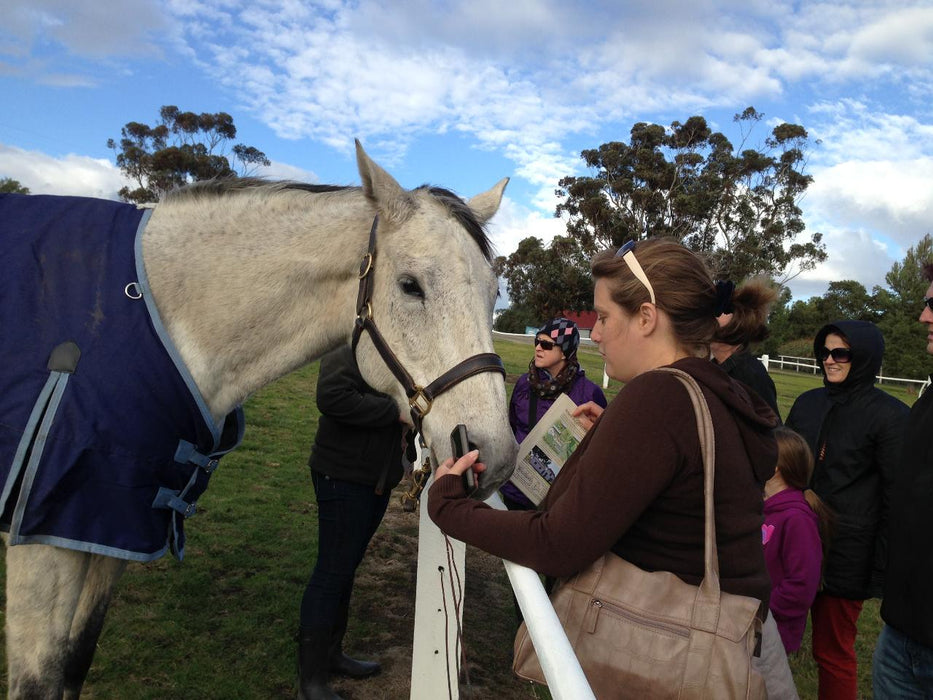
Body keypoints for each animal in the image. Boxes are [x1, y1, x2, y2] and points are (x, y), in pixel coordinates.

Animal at [0, 139, 516, 696]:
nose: (494, 455)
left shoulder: (112, 527)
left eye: (493, 294)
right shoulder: (46, 540)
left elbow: (78, 660)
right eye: (410, 285)